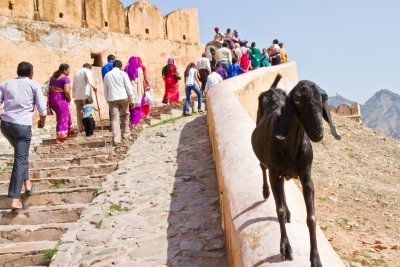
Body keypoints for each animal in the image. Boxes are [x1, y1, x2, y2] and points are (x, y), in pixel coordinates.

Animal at [252, 74, 340, 267]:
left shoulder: (306, 175)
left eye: (323, 98)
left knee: (283, 187)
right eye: (298, 101)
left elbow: (311, 217)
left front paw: (316, 259)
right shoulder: (274, 171)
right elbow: (278, 210)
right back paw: (265, 192)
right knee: (263, 168)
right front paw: (285, 248)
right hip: (267, 162)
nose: (318, 132)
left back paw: (288, 212)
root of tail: (272, 90)